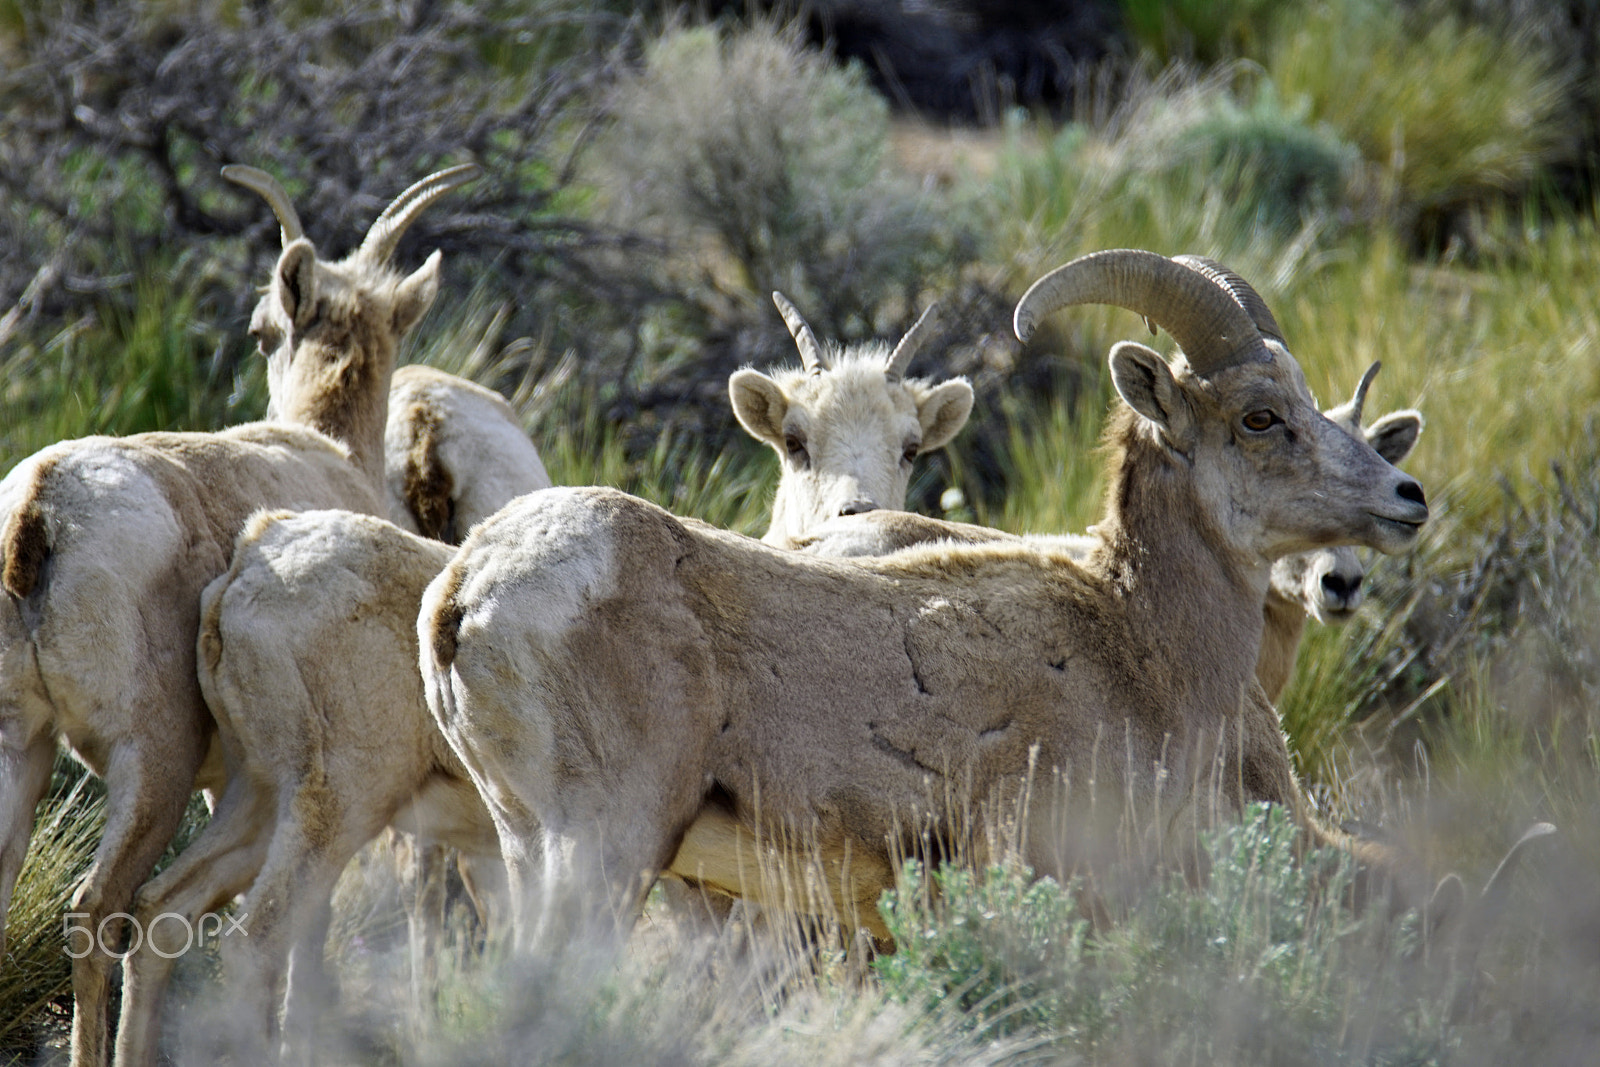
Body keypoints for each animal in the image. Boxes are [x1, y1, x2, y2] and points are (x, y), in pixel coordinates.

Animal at [0, 160, 474, 1067]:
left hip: (22, 745)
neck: (329, 451)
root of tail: (40, 508)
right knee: (98, 908)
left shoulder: (246, 786)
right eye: (261, 332)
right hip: (154, 761)